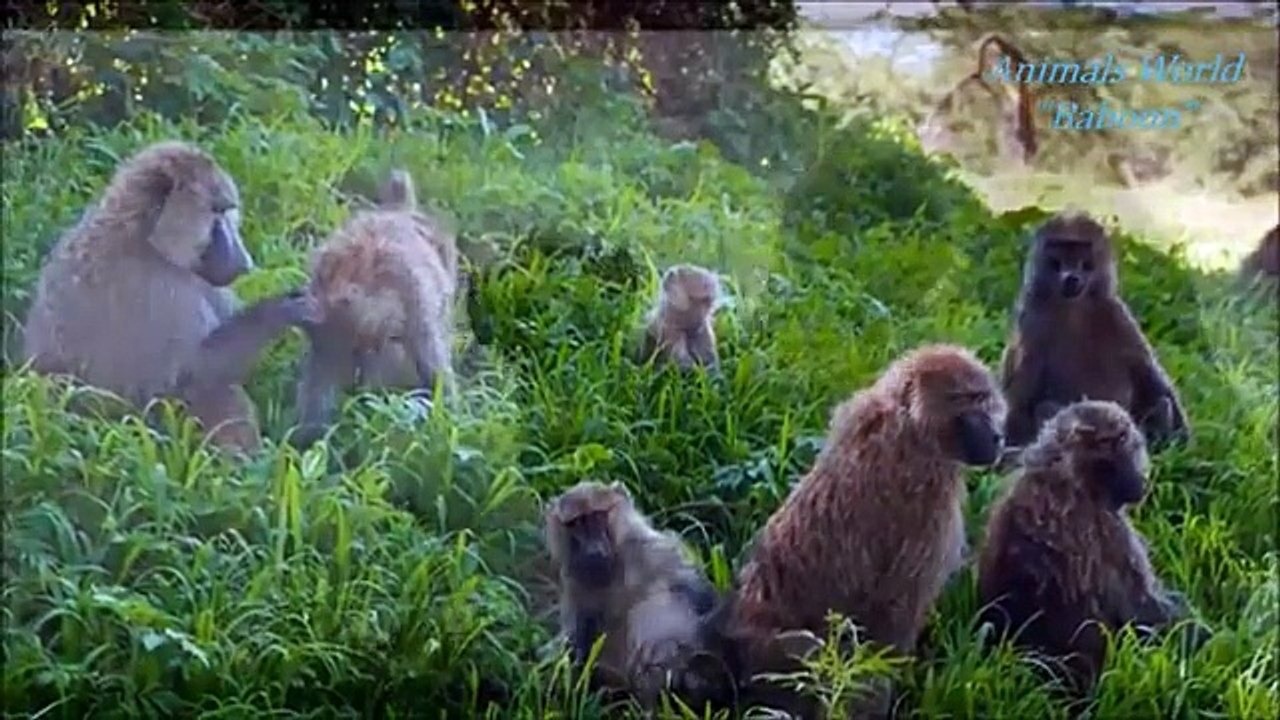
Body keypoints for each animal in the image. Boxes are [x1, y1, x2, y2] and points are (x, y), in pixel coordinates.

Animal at [19, 140, 318, 455]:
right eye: (217, 213)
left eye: (227, 212)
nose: (244, 262)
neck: (143, 235)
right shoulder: (158, 291)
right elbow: (187, 377)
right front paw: (280, 310)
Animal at [544, 480, 732, 714]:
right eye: (577, 522)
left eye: (598, 516)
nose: (593, 549)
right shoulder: (573, 581)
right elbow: (575, 641)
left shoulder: (653, 550)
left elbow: (693, 596)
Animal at [721, 343, 1007, 718]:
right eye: (969, 400)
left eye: (985, 400)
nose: (998, 437)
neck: (909, 421)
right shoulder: (930, 492)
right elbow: (893, 614)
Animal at [999, 211, 1189, 452]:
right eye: (1059, 252)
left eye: (1082, 252)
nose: (1071, 277)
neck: (1074, 309)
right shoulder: (1032, 322)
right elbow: (1020, 399)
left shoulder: (1115, 315)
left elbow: (1149, 374)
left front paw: (1184, 440)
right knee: (1047, 407)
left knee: (1160, 401)